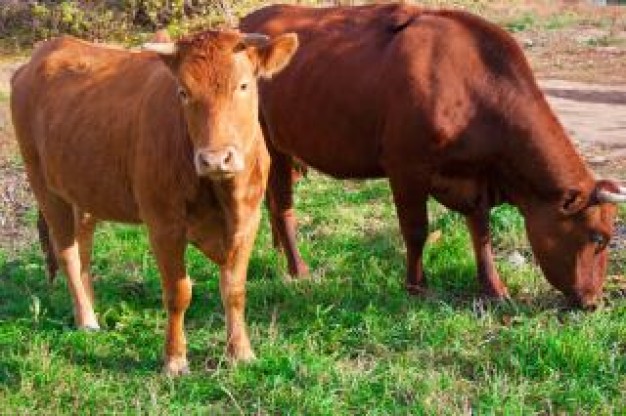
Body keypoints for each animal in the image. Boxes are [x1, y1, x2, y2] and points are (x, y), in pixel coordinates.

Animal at [9, 29, 298, 374]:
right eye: (183, 92)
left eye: (243, 85)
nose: (215, 159)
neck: (220, 192)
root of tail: (41, 54)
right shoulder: (163, 225)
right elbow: (178, 292)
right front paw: (174, 360)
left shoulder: (248, 220)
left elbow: (235, 289)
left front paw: (240, 352)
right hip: (43, 183)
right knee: (67, 253)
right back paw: (87, 319)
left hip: (85, 189)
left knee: (83, 249)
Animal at [240, 4, 624, 308]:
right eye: (598, 238)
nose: (593, 302)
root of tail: (252, 19)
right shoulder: (406, 168)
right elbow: (416, 230)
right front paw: (417, 287)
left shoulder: (475, 178)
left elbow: (481, 233)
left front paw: (494, 289)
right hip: (270, 143)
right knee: (282, 205)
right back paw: (298, 269)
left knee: (273, 199)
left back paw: (278, 251)